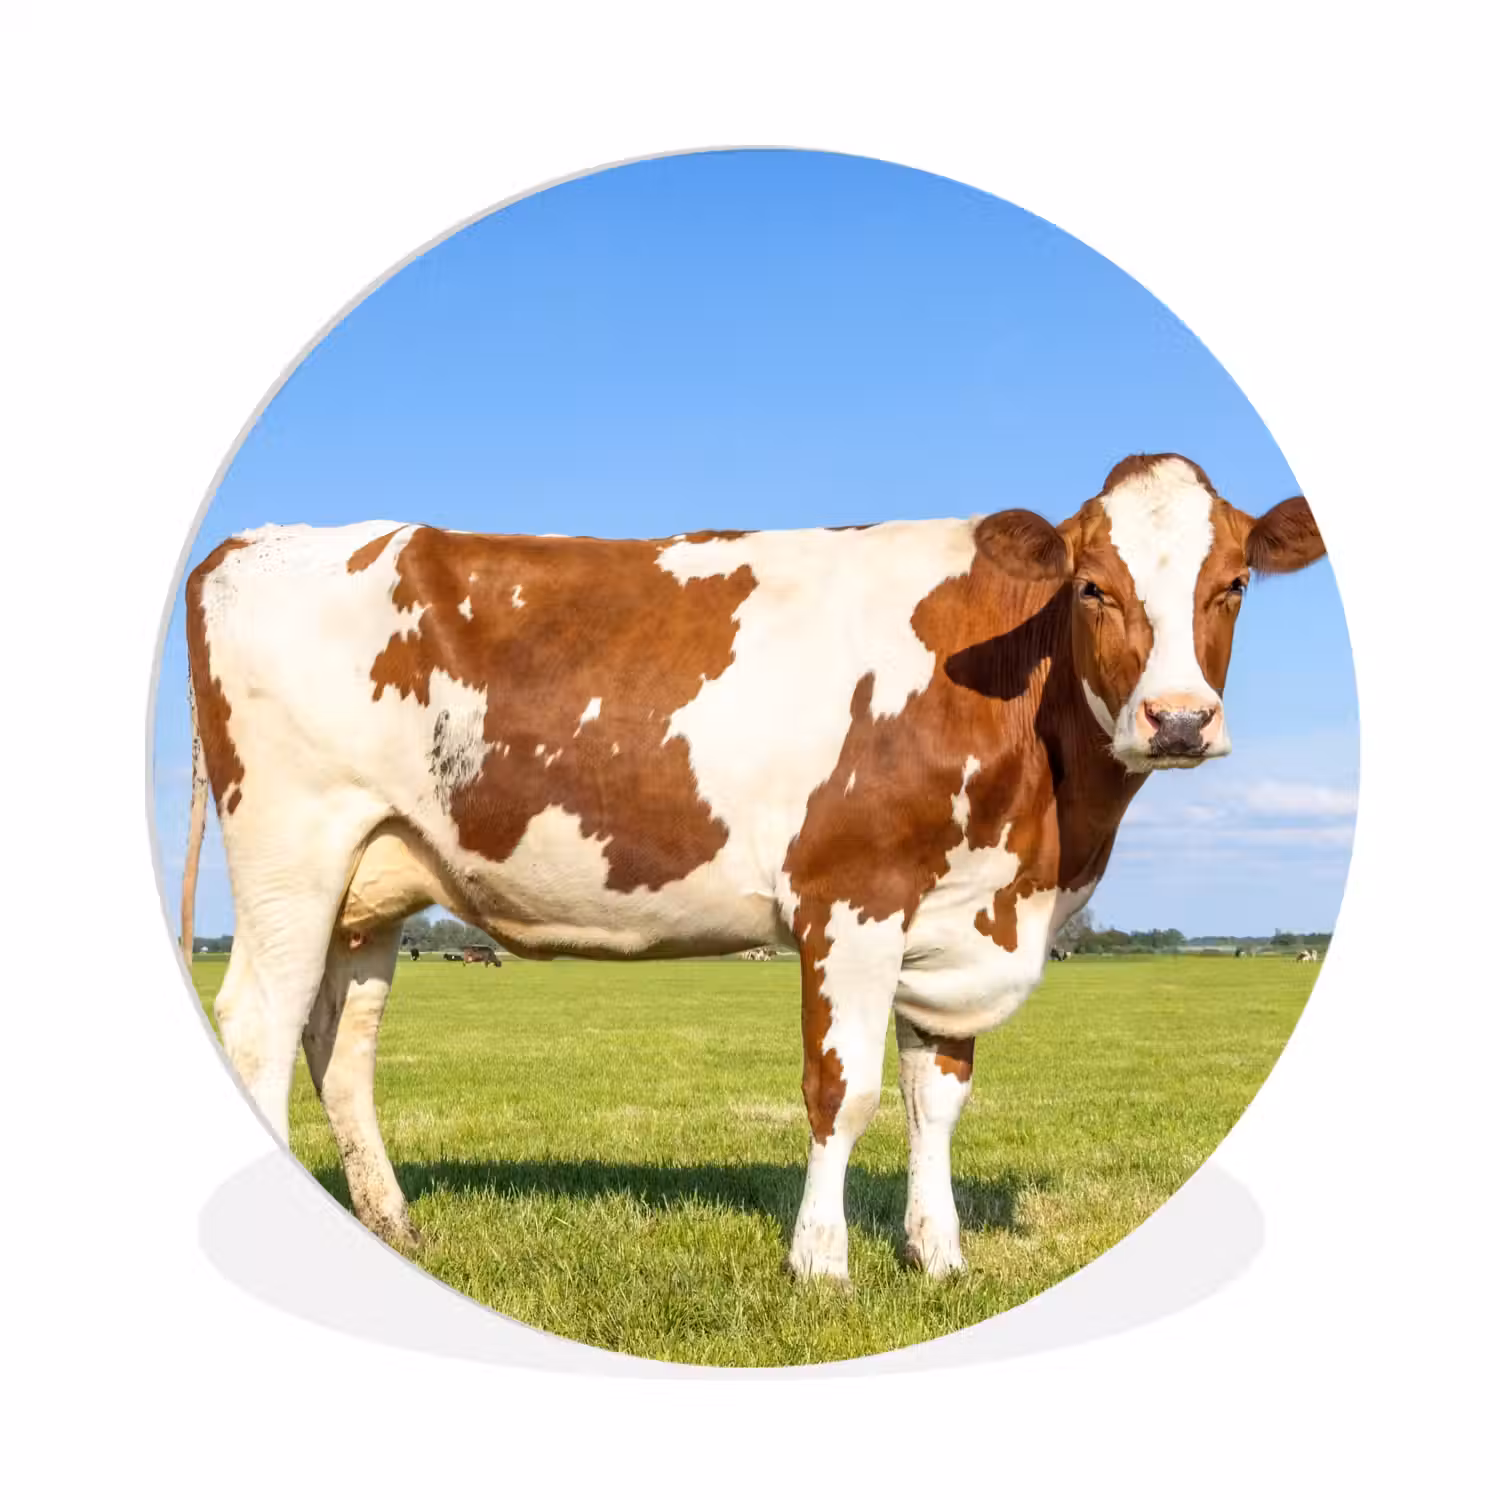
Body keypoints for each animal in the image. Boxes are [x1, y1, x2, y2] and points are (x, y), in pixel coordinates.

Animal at [179, 452, 1325, 1279]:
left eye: (1233, 585)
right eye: (1094, 587)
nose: (1179, 721)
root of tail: (256, 541)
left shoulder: (959, 916)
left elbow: (936, 1097)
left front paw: (940, 1259)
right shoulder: (852, 896)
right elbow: (843, 1090)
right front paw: (822, 1267)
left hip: (372, 883)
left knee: (341, 1046)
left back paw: (394, 1225)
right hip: (290, 850)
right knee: (259, 1033)